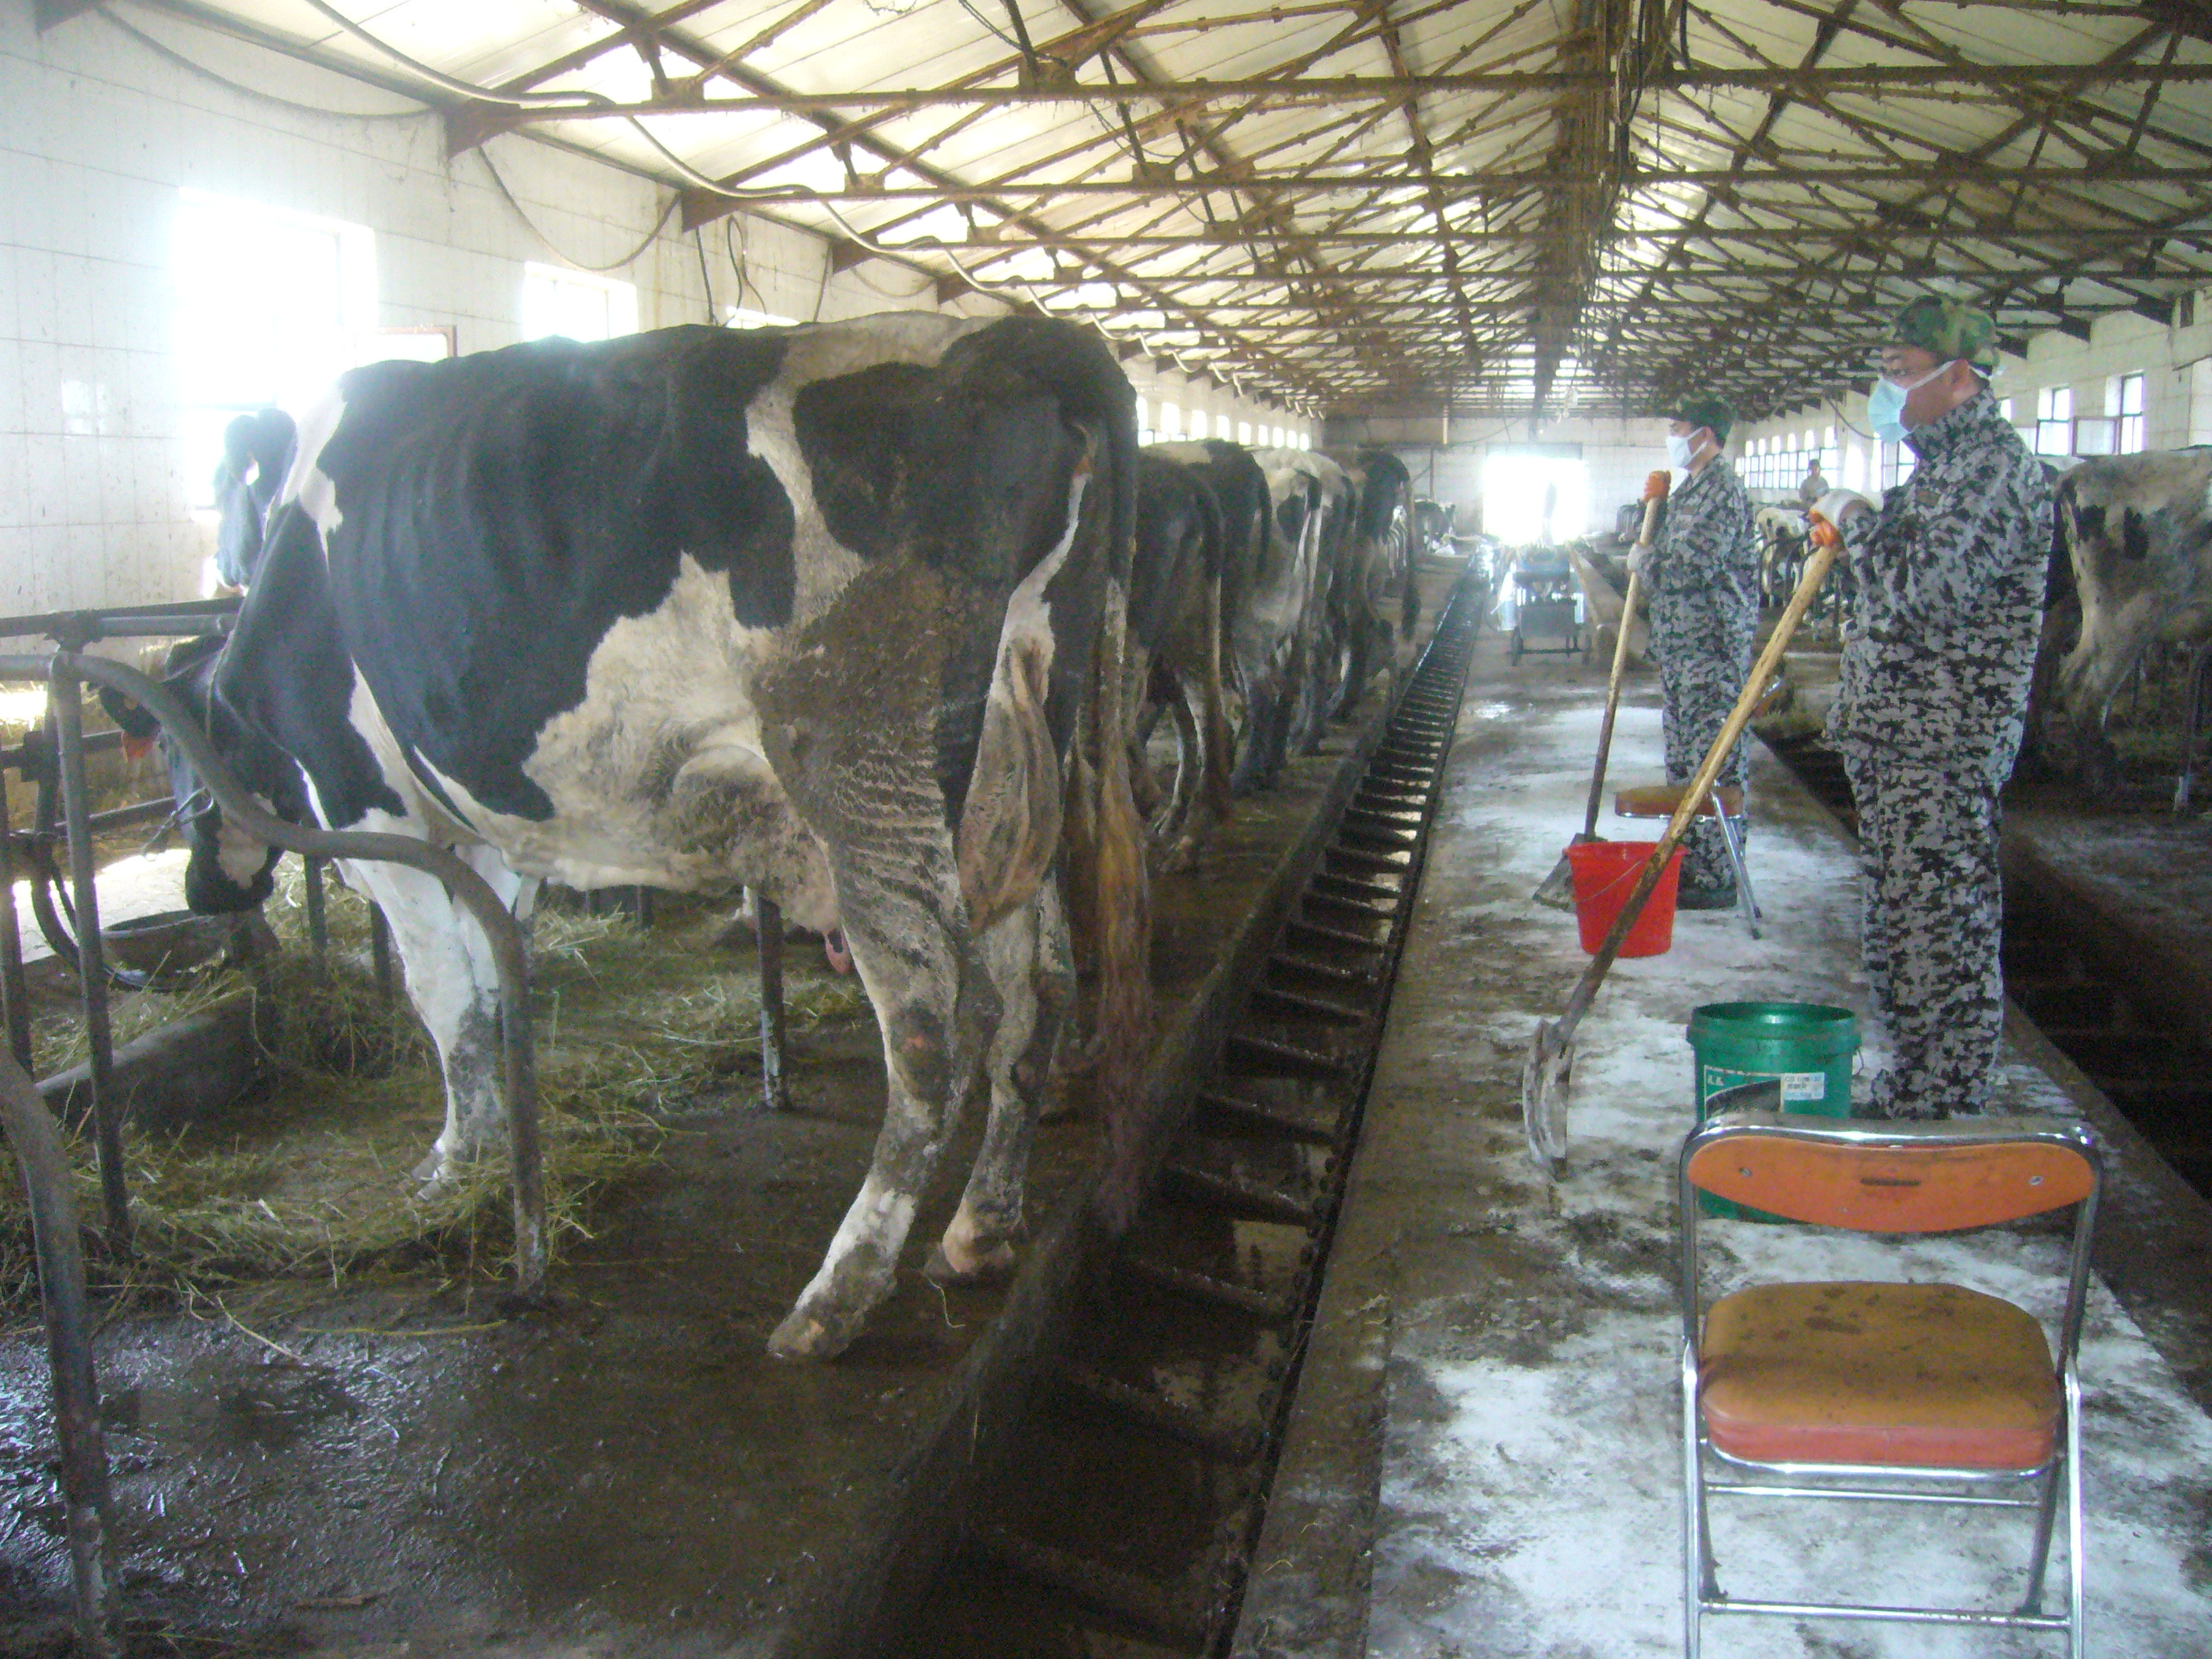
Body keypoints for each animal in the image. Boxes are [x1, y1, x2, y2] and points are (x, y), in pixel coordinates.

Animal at [169, 312, 1149, 1361]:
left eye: (182, 775)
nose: (200, 894)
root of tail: (1012, 333)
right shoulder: (489, 832)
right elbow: (489, 977)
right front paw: (492, 1138)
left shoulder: (362, 801)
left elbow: (443, 994)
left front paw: (448, 1162)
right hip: (1011, 774)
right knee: (1038, 990)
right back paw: (977, 1232)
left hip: (858, 762)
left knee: (938, 1020)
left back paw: (834, 1297)